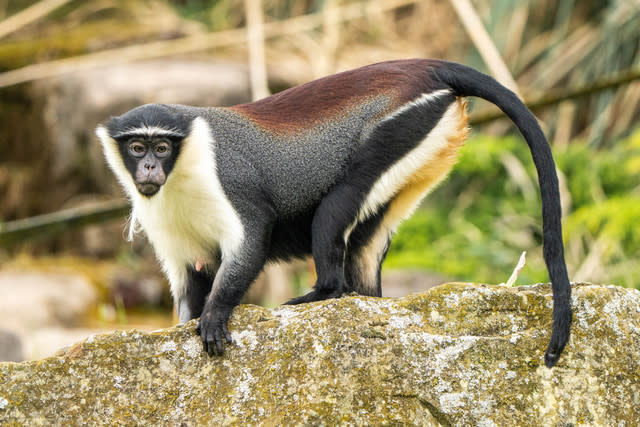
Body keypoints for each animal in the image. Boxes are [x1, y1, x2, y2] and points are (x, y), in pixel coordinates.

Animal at [97, 59, 572, 368]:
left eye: (162, 147)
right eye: (136, 147)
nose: (149, 168)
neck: (183, 164)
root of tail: (426, 66)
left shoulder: (228, 180)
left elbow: (252, 238)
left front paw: (215, 315)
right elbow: (191, 277)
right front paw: (197, 316)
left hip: (401, 125)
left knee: (333, 211)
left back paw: (322, 292)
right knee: (365, 243)